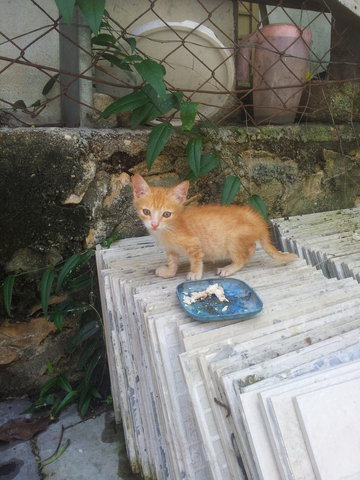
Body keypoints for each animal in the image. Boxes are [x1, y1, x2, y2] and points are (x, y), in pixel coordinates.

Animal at [131, 174, 296, 280]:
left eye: (166, 214)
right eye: (146, 212)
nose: (154, 224)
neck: (167, 228)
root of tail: (257, 220)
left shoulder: (193, 243)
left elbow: (196, 260)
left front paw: (195, 273)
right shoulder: (171, 249)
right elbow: (172, 262)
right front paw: (169, 272)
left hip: (232, 239)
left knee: (242, 256)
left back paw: (229, 268)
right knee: (251, 248)